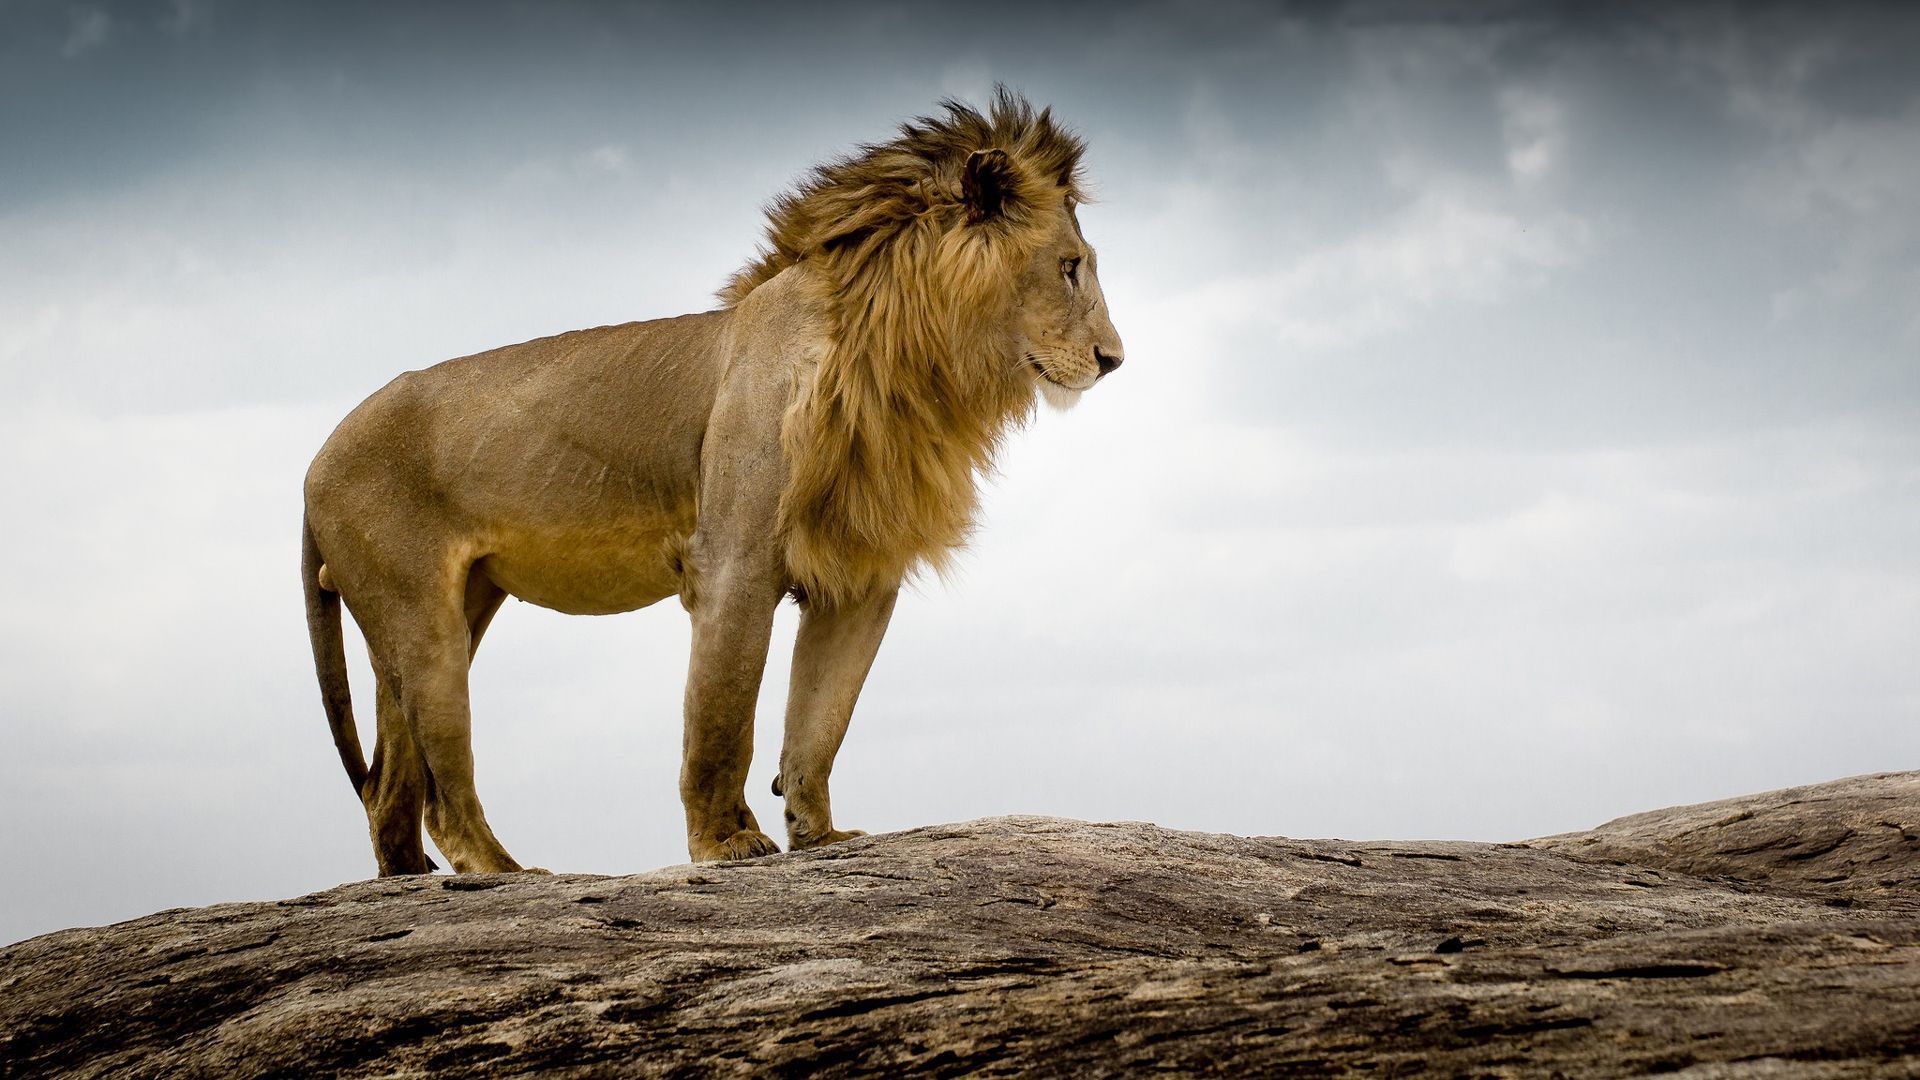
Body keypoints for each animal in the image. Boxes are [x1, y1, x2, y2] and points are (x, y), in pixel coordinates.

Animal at [302, 89, 1125, 875]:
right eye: (1070, 267)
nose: (1115, 359)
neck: (907, 363)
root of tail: (313, 461)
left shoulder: (860, 575)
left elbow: (820, 720)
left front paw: (819, 836)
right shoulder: (734, 560)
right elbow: (724, 714)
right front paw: (725, 841)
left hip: (454, 606)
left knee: (387, 785)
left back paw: (412, 880)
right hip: (421, 616)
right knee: (440, 784)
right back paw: (506, 871)